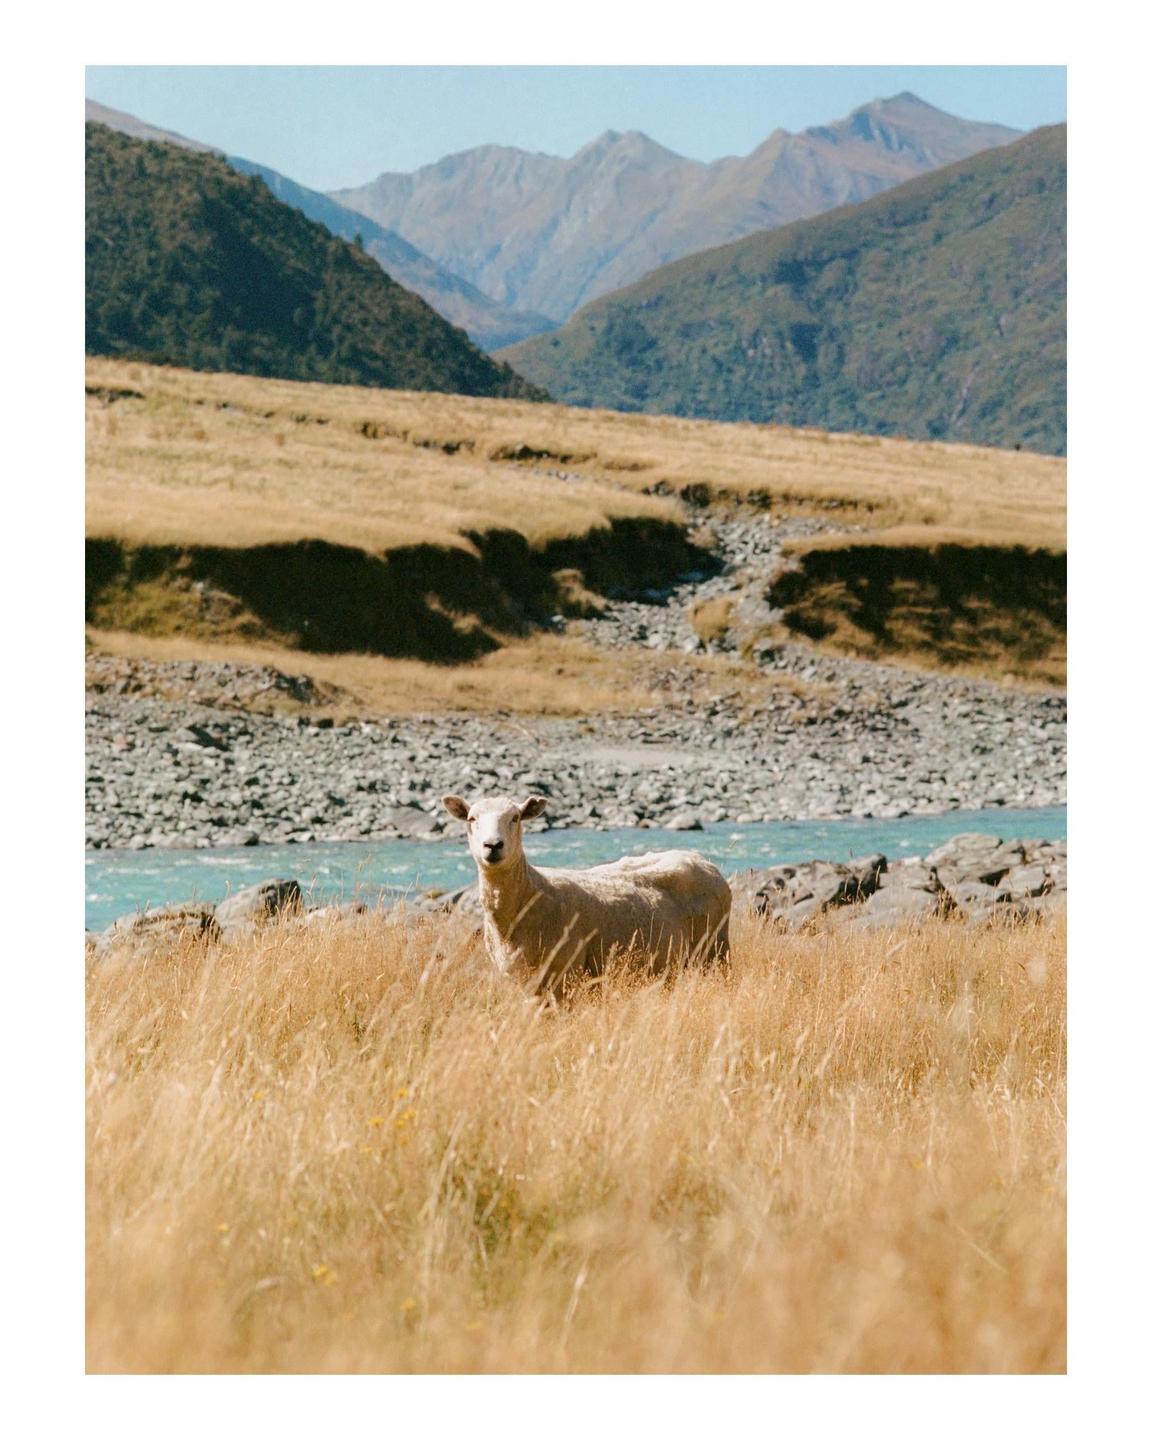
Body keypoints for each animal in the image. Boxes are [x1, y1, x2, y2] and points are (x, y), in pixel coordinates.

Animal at [442, 793, 731, 996]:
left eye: (515, 818)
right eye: (471, 819)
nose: (492, 845)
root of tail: (703, 861)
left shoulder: (566, 973)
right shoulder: (520, 980)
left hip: (714, 951)